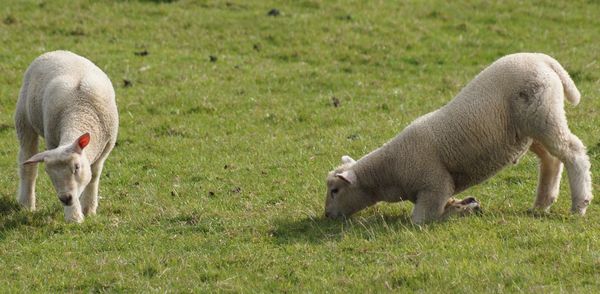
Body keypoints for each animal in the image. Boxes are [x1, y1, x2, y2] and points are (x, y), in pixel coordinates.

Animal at [14, 50, 118, 223]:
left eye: (76, 167)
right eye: (49, 172)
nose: (65, 198)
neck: (79, 112)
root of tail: (56, 52)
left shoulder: (105, 148)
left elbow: (94, 176)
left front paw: (89, 209)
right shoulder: (51, 141)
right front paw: (74, 218)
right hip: (23, 119)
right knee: (27, 164)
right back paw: (27, 204)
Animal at [324, 52, 592, 223]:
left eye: (335, 190)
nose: (326, 215)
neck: (389, 171)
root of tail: (544, 59)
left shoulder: (434, 185)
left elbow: (421, 220)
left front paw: (461, 210)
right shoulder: (439, 188)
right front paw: (463, 204)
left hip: (543, 115)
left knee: (573, 152)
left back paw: (579, 205)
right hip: (529, 129)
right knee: (551, 159)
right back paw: (542, 203)